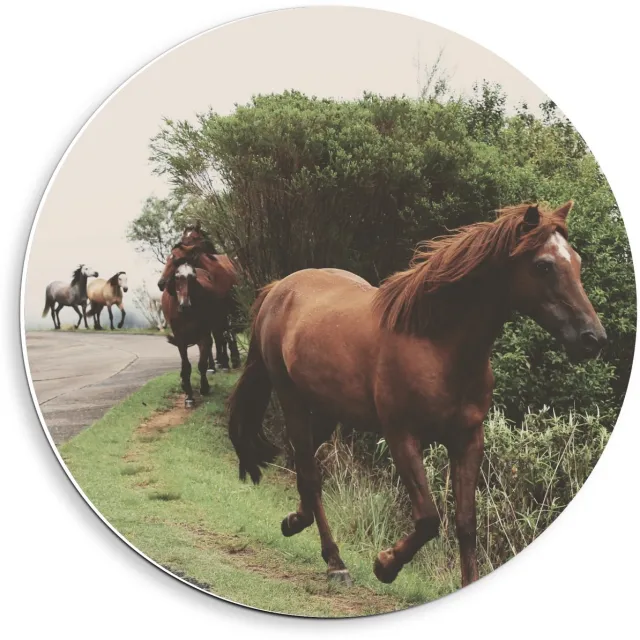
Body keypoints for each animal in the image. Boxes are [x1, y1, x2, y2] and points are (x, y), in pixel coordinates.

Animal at [162, 256, 219, 407]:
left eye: (193, 277)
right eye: (177, 277)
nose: (185, 305)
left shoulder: (204, 334)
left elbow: (202, 363)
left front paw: (204, 387)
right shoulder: (180, 338)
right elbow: (186, 365)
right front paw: (188, 396)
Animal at [227, 201, 607, 588]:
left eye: (576, 261)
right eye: (544, 265)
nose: (593, 338)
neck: (435, 344)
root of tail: (280, 288)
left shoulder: (468, 440)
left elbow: (466, 524)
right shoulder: (403, 437)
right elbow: (428, 518)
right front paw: (385, 565)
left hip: (328, 410)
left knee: (301, 464)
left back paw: (295, 522)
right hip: (293, 400)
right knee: (310, 473)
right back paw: (335, 562)